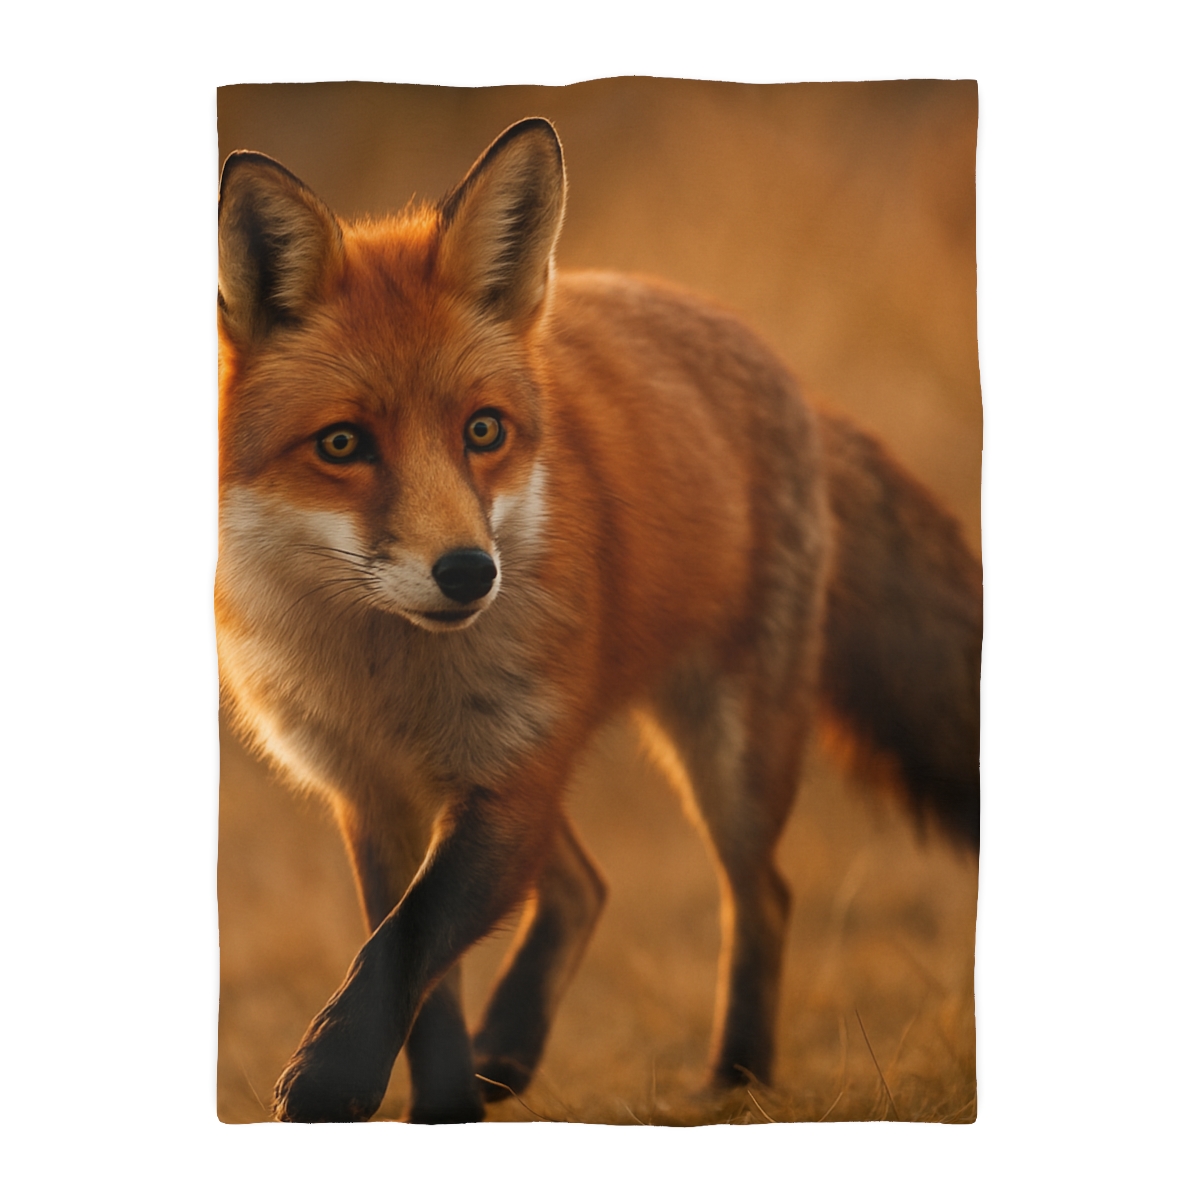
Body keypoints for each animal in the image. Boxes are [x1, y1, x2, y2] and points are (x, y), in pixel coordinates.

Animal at [216, 117, 982, 1123]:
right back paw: (512, 1050)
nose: (469, 574)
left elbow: (405, 948)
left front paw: (333, 1080)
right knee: (585, 888)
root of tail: (780, 370)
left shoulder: (509, 777)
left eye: (484, 430)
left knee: (763, 895)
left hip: (728, 759)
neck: (393, 679)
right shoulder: (376, 795)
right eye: (342, 444)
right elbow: (419, 977)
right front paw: (445, 1108)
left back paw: (736, 1073)